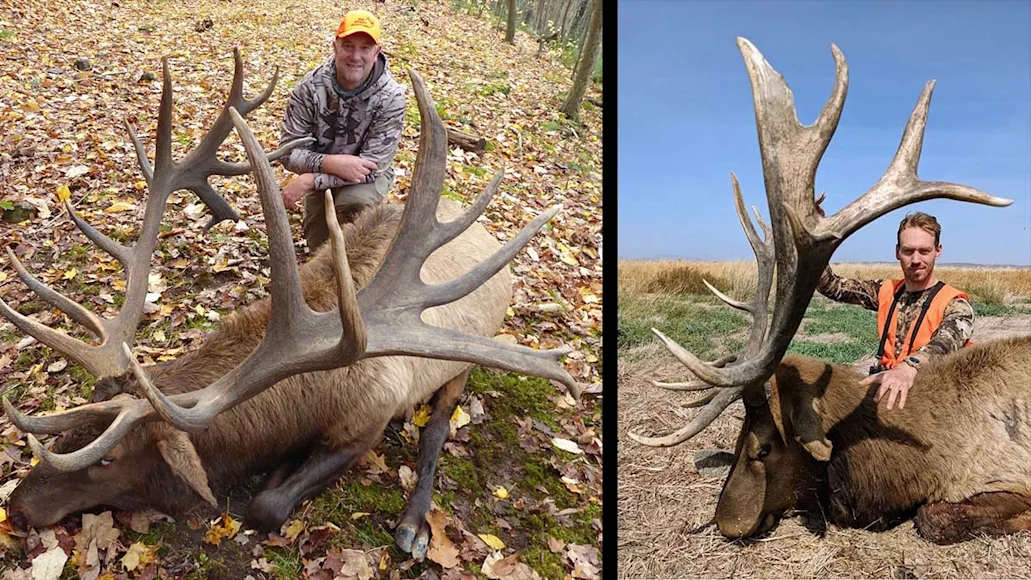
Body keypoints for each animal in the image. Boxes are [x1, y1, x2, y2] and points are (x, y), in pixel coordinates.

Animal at [0, 49, 580, 560]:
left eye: (109, 459)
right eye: (70, 425)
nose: (18, 506)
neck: (308, 400)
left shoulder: (370, 419)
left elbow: (266, 506)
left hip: (466, 355)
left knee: (439, 422)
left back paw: (415, 524)